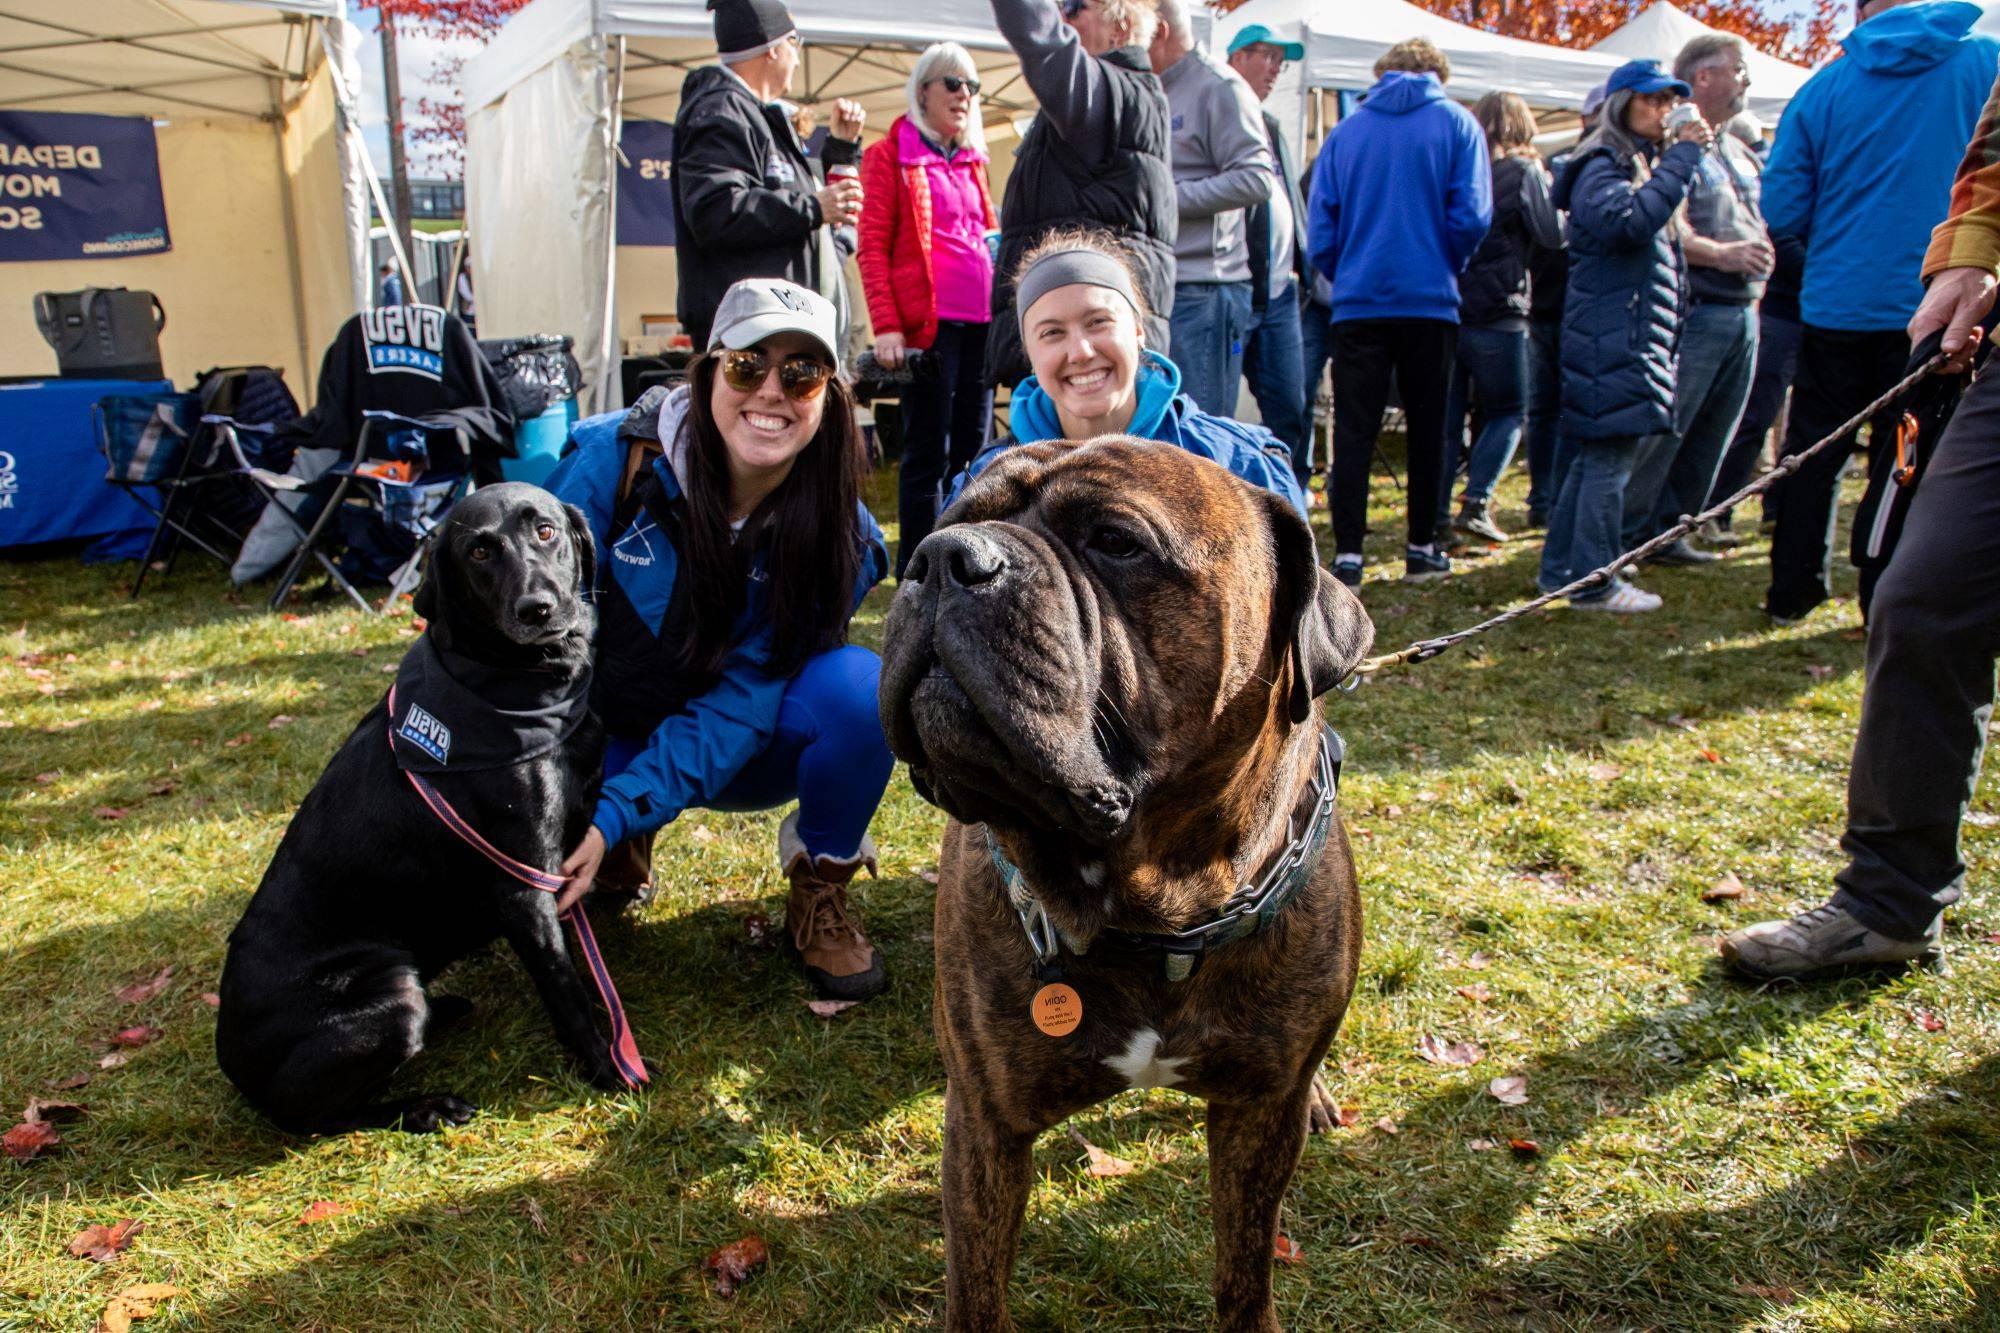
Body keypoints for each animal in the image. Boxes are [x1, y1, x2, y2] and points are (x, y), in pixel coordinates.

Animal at [217, 482, 632, 1128]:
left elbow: (573, 959)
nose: (537, 608)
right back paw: (427, 1107)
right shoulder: (523, 886)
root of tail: (230, 1061)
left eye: (545, 531)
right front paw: (607, 1064)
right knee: (319, 1120)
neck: (517, 684)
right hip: (393, 996)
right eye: (479, 551)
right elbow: (564, 988)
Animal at [888, 434, 1376, 1320]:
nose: (940, 558)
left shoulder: (1258, 1118)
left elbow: (1245, 1268)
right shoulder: (985, 1125)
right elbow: (976, 1284)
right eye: (947, 522)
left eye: (1115, 541)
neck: (1159, 912)